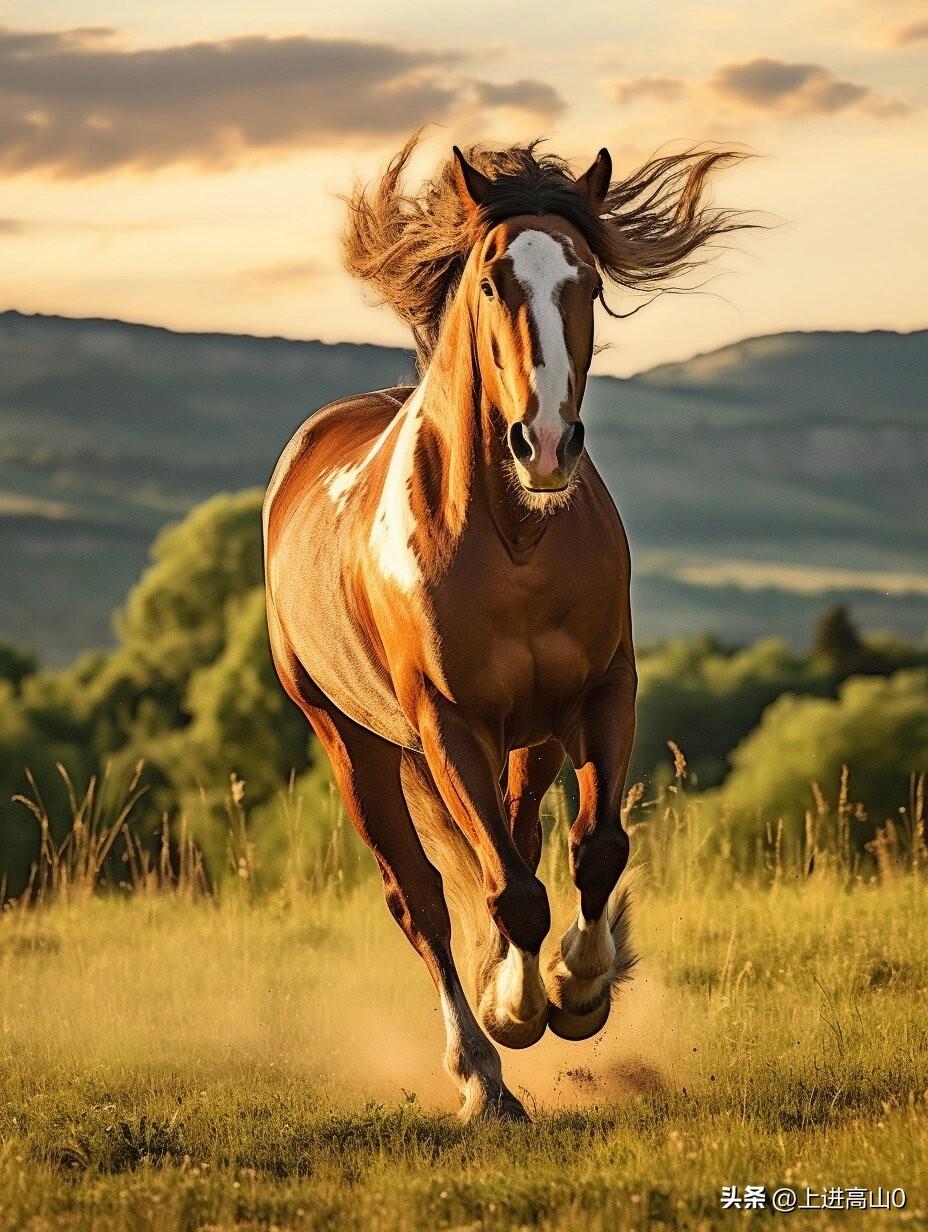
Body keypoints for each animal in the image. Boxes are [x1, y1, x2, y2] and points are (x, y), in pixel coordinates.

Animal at [262, 137, 744, 1128]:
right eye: (491, 282)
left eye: (588, 281)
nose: (546, 444)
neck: (517, 538)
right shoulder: (449, 723)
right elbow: (508, 893)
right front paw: (520, 1015)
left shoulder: (600, 694)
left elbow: (593, 851)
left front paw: (579, 989)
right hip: (353, 742)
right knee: (423, 899)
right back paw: (480, 1069)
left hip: (529, 741)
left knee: (518, 845)